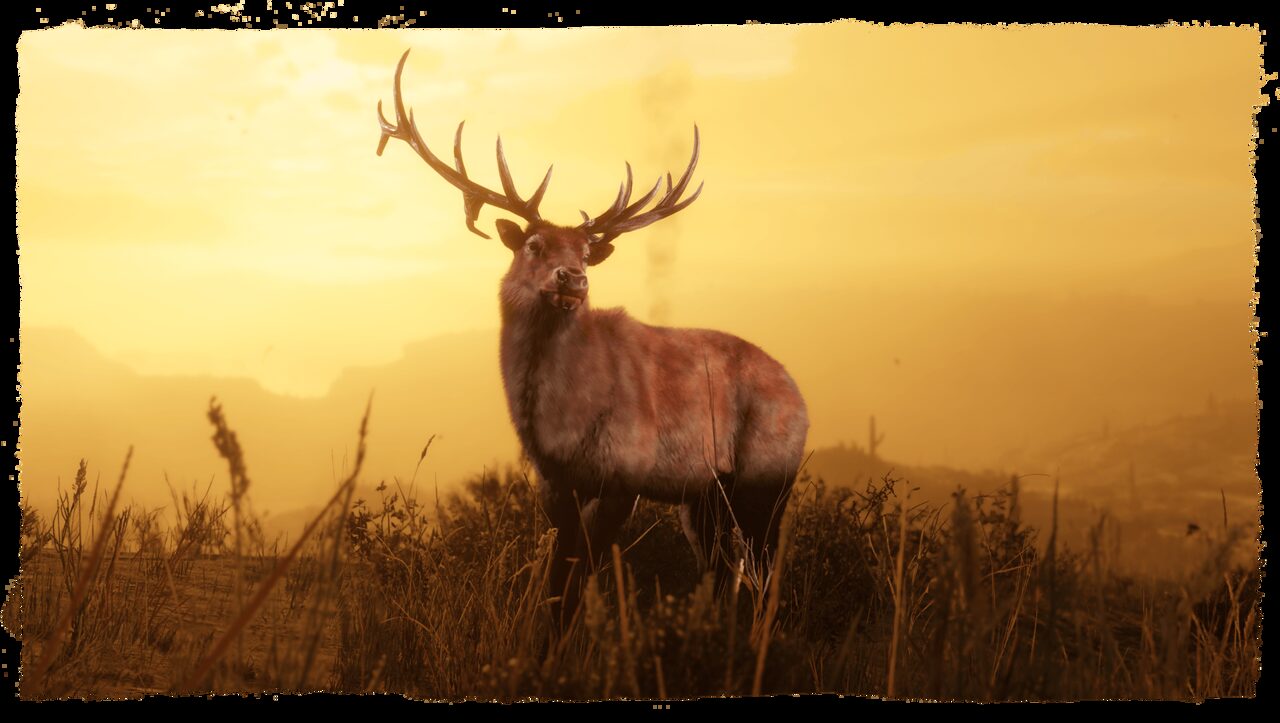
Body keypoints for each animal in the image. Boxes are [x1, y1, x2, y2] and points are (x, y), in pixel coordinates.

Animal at [376, 50, 809, 628]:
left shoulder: (624, 472)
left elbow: (583, 572)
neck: (559, 421)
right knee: (725, 570)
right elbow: (559, 581)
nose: (573, 279)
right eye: (533, 244)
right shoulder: (554, 479)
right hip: (705, 497)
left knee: (764, 570)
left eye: (584, 252)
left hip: (768, 477)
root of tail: (800, 393)